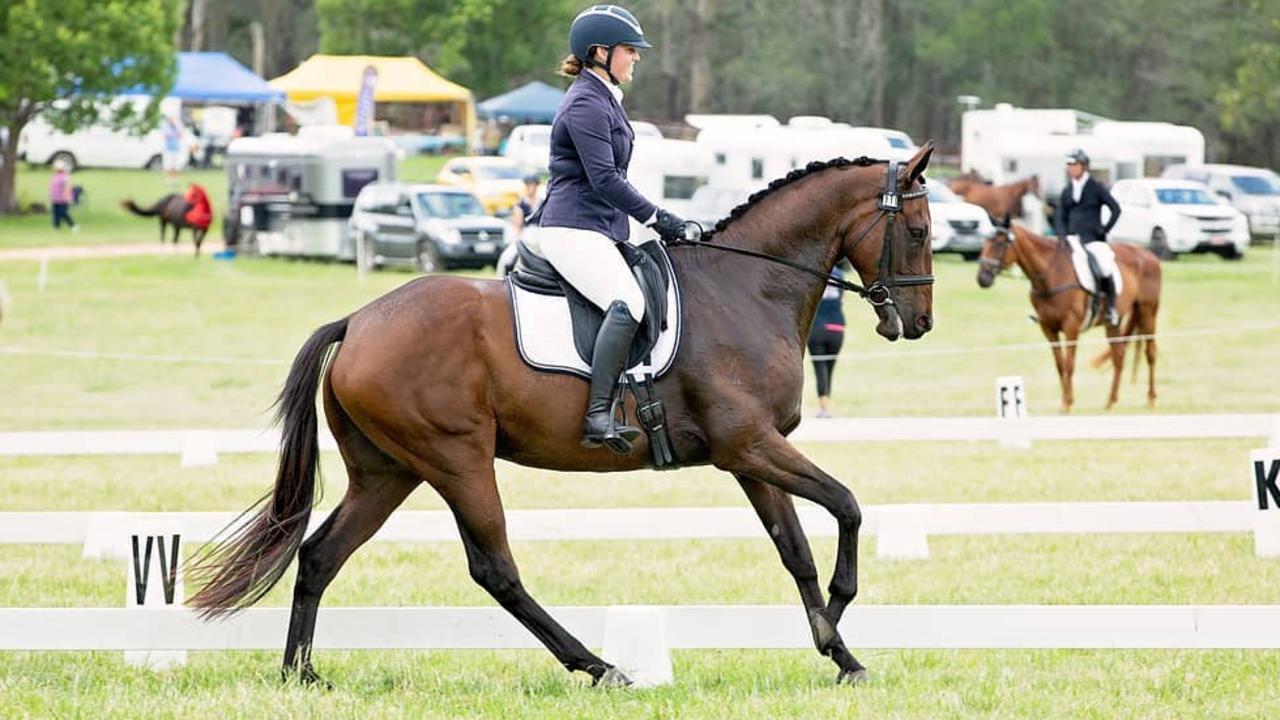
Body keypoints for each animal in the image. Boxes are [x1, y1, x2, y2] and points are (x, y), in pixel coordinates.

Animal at [185, 144, 936, 681]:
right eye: (920, 229)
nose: (921, 323)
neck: (747, 286)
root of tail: (358, 321)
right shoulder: (748, 444)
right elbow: (847, 506)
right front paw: (837, 619)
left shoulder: (752, 455)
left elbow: (796, 551)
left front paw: (839, 652)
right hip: (456, 459)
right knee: (495, 569)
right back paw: (598, 666)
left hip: (388, 472)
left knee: (320, 555)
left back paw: (300, 674)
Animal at [977, 224, 1162, 415]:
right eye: (985, 243)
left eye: (1000, 244)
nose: (982, 279)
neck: (1051, 273)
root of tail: (1149, 255)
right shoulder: (1048, 328)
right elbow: (1060, 365)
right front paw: (1065, 401)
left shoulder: (1071, 327)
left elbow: (1069, 364)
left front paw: (1067, 403)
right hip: (1114, 323)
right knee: (1118, 355)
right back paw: (1110, 402)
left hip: (1148, 312)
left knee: (1150, 353)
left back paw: (1151, 399)